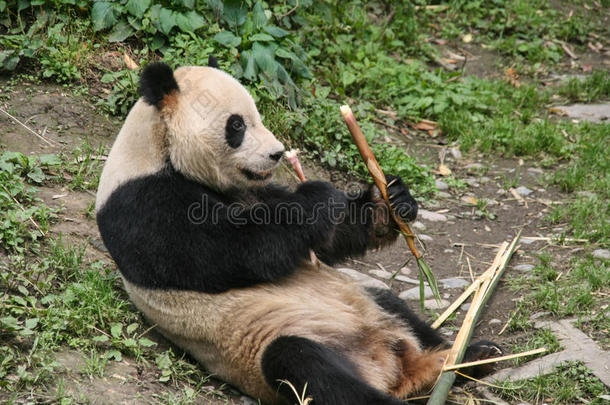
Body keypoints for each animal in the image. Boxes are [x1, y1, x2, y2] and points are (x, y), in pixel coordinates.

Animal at [95, 59, 502, 404]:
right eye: (237, 125)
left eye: (257, 116)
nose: (277, 153)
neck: (157, 150)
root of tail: (390, 369)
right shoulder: (142, 204)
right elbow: (229, 251)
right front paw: (318, 197)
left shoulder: (256, 188)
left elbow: (326, 242)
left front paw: (391, 201)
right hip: (277, 341)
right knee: (308, 367)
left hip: (367, 305)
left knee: (393, 305)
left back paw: (467, 357)